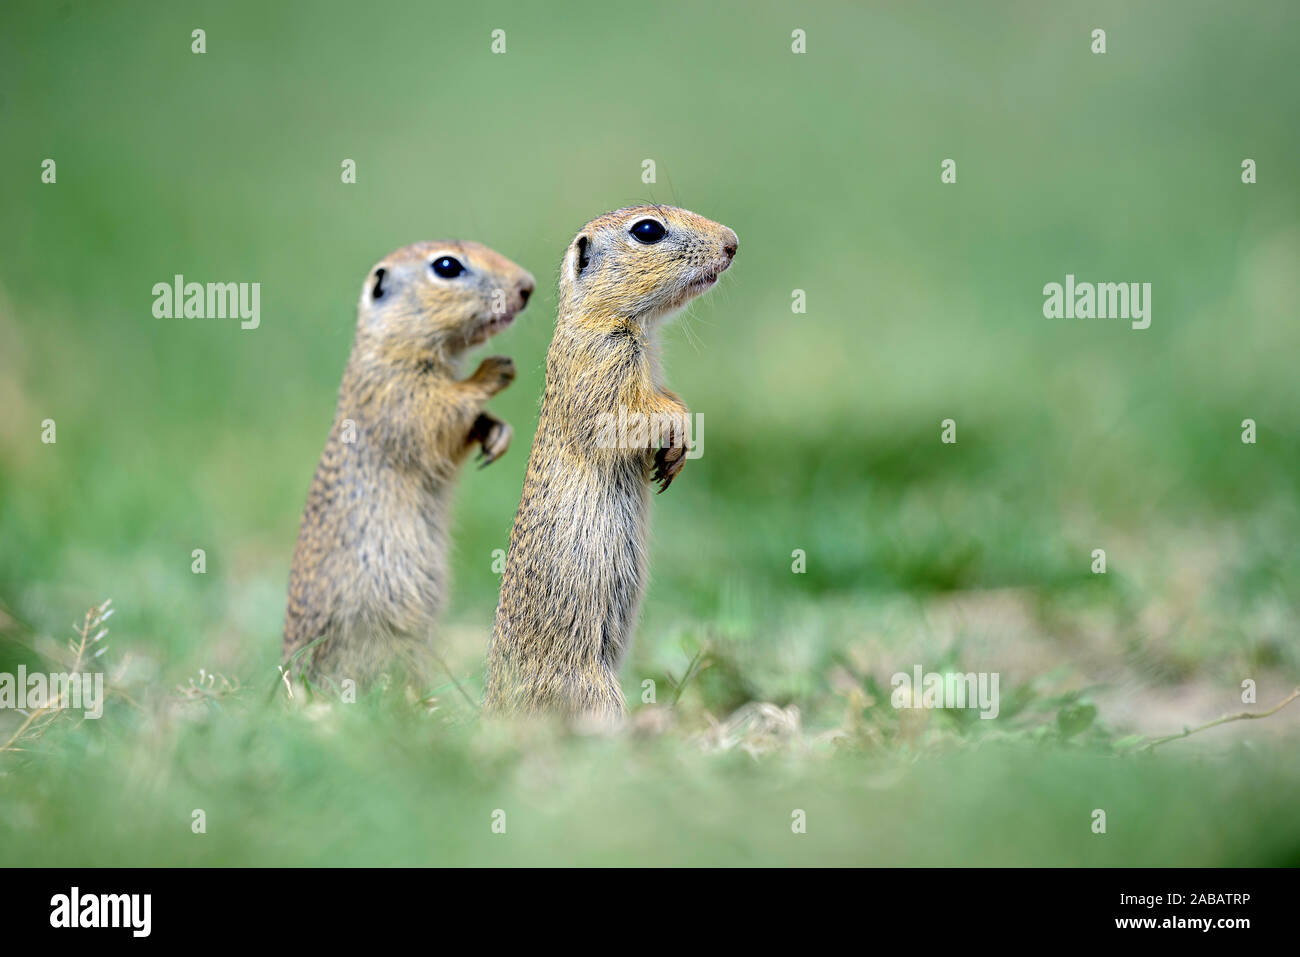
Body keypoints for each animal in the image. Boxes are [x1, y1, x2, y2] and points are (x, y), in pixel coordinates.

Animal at [280, 239, 533, 686]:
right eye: (447, 266)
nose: (527, 287)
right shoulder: (397, 390)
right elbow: (437, 413)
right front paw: (494, 370)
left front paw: (496, 434)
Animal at [483, 205, 738, 722]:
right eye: (648, 230)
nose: (733, 243)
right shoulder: (602, 366)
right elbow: (633, 413)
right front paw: (679, 430)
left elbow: (667, 398)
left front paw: (673, 460)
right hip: (592, 688)